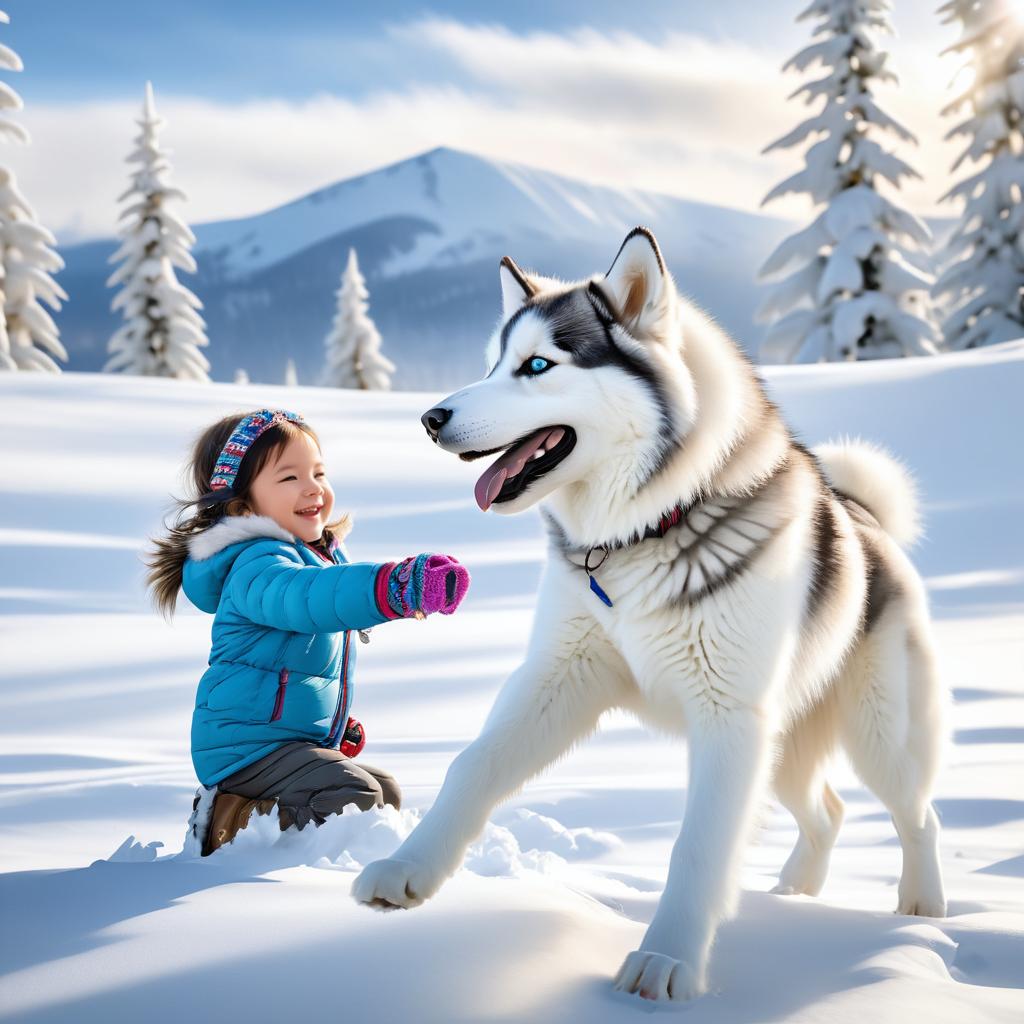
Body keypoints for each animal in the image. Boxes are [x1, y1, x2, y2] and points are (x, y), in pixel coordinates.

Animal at [352, 228, 942, 1003]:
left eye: (538, 365)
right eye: (493, 363)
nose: (430, 418)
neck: (643, 530)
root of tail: (864, 519)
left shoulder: (727, 722)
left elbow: (698, 846)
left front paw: (667, 961)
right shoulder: (555, 679)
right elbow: (471, 767)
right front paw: (407, 869)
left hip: (876, 740)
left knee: (918, 814)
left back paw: (921, 915)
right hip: (779, 749)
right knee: (829, 811)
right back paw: (794, 892)